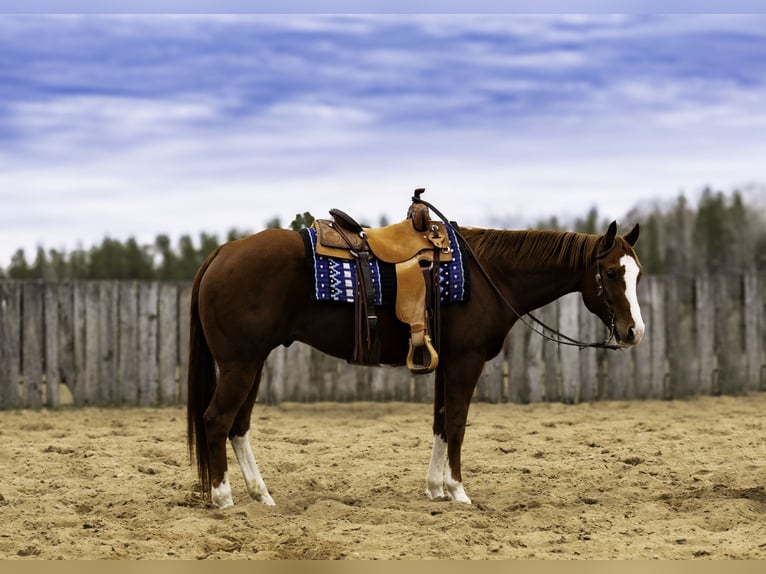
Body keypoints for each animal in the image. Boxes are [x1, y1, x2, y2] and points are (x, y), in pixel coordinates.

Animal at [186, 215, 640, 508]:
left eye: (635, 273)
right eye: (612, 273)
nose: (634, 332)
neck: (491, 273)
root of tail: (221, 252)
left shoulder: (448, 362)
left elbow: (440, 422)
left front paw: (435, 488)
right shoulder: (466, 361)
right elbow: (456, 423)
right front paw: (458, 491)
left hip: (252, 362)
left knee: (238, 425)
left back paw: (261, 495)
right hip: (241, 363)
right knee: (216, 420)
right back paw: (224, 498)